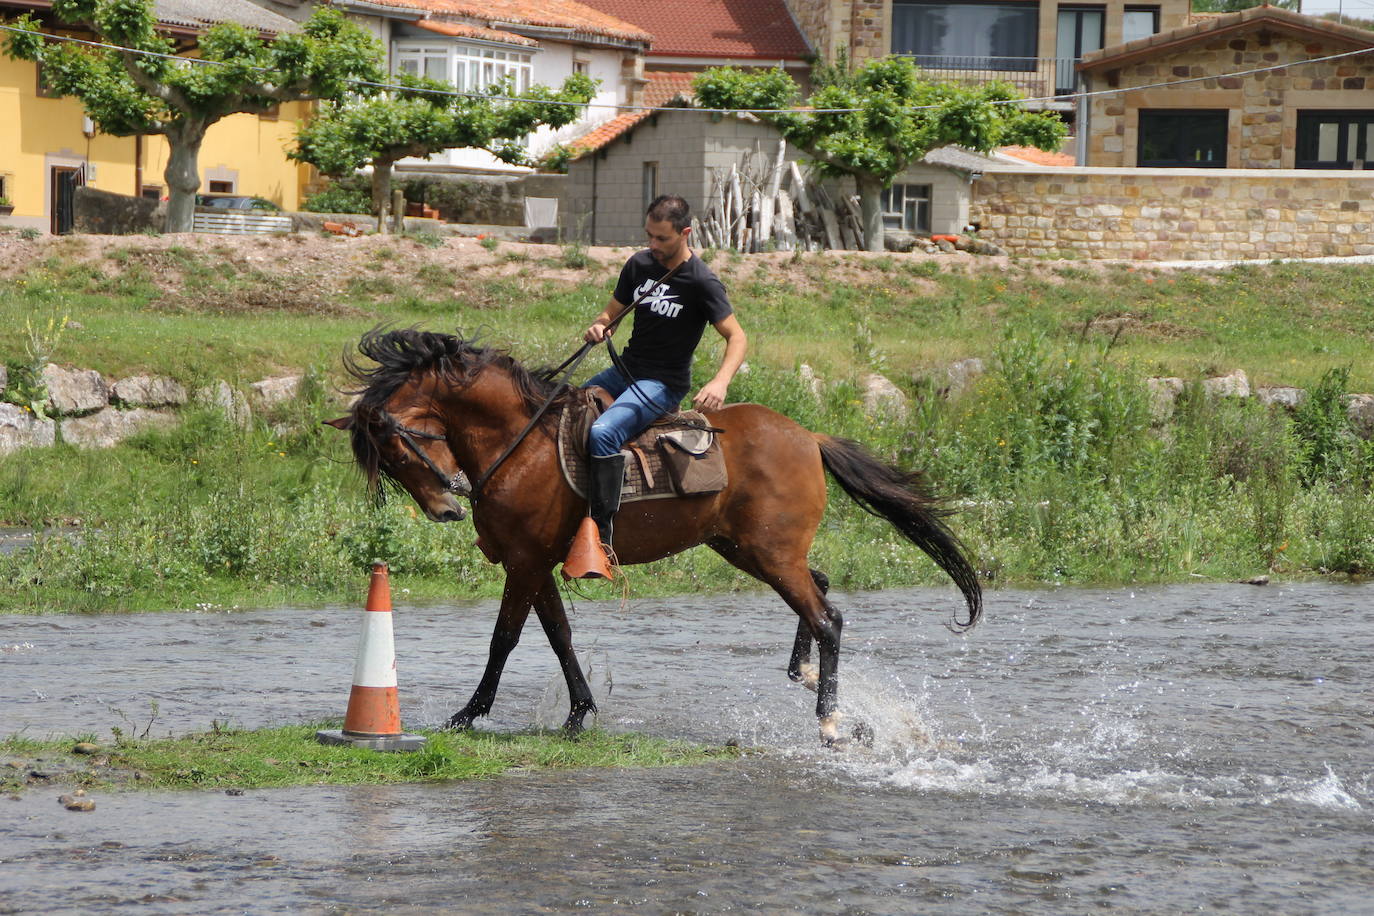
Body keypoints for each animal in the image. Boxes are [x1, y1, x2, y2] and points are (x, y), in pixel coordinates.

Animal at [328, 329, 983, 747]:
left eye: (398, 447)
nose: (445, 507)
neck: (521, 443)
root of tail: (808, 437)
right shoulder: (536, 563)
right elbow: (559, 636)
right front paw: (578, 715)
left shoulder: (524, 562)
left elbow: (505, 640)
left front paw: (468, 714)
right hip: (748, 549)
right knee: (819, 591)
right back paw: (814, 684)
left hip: (770, 554)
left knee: (827, 618)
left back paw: (829, 721)